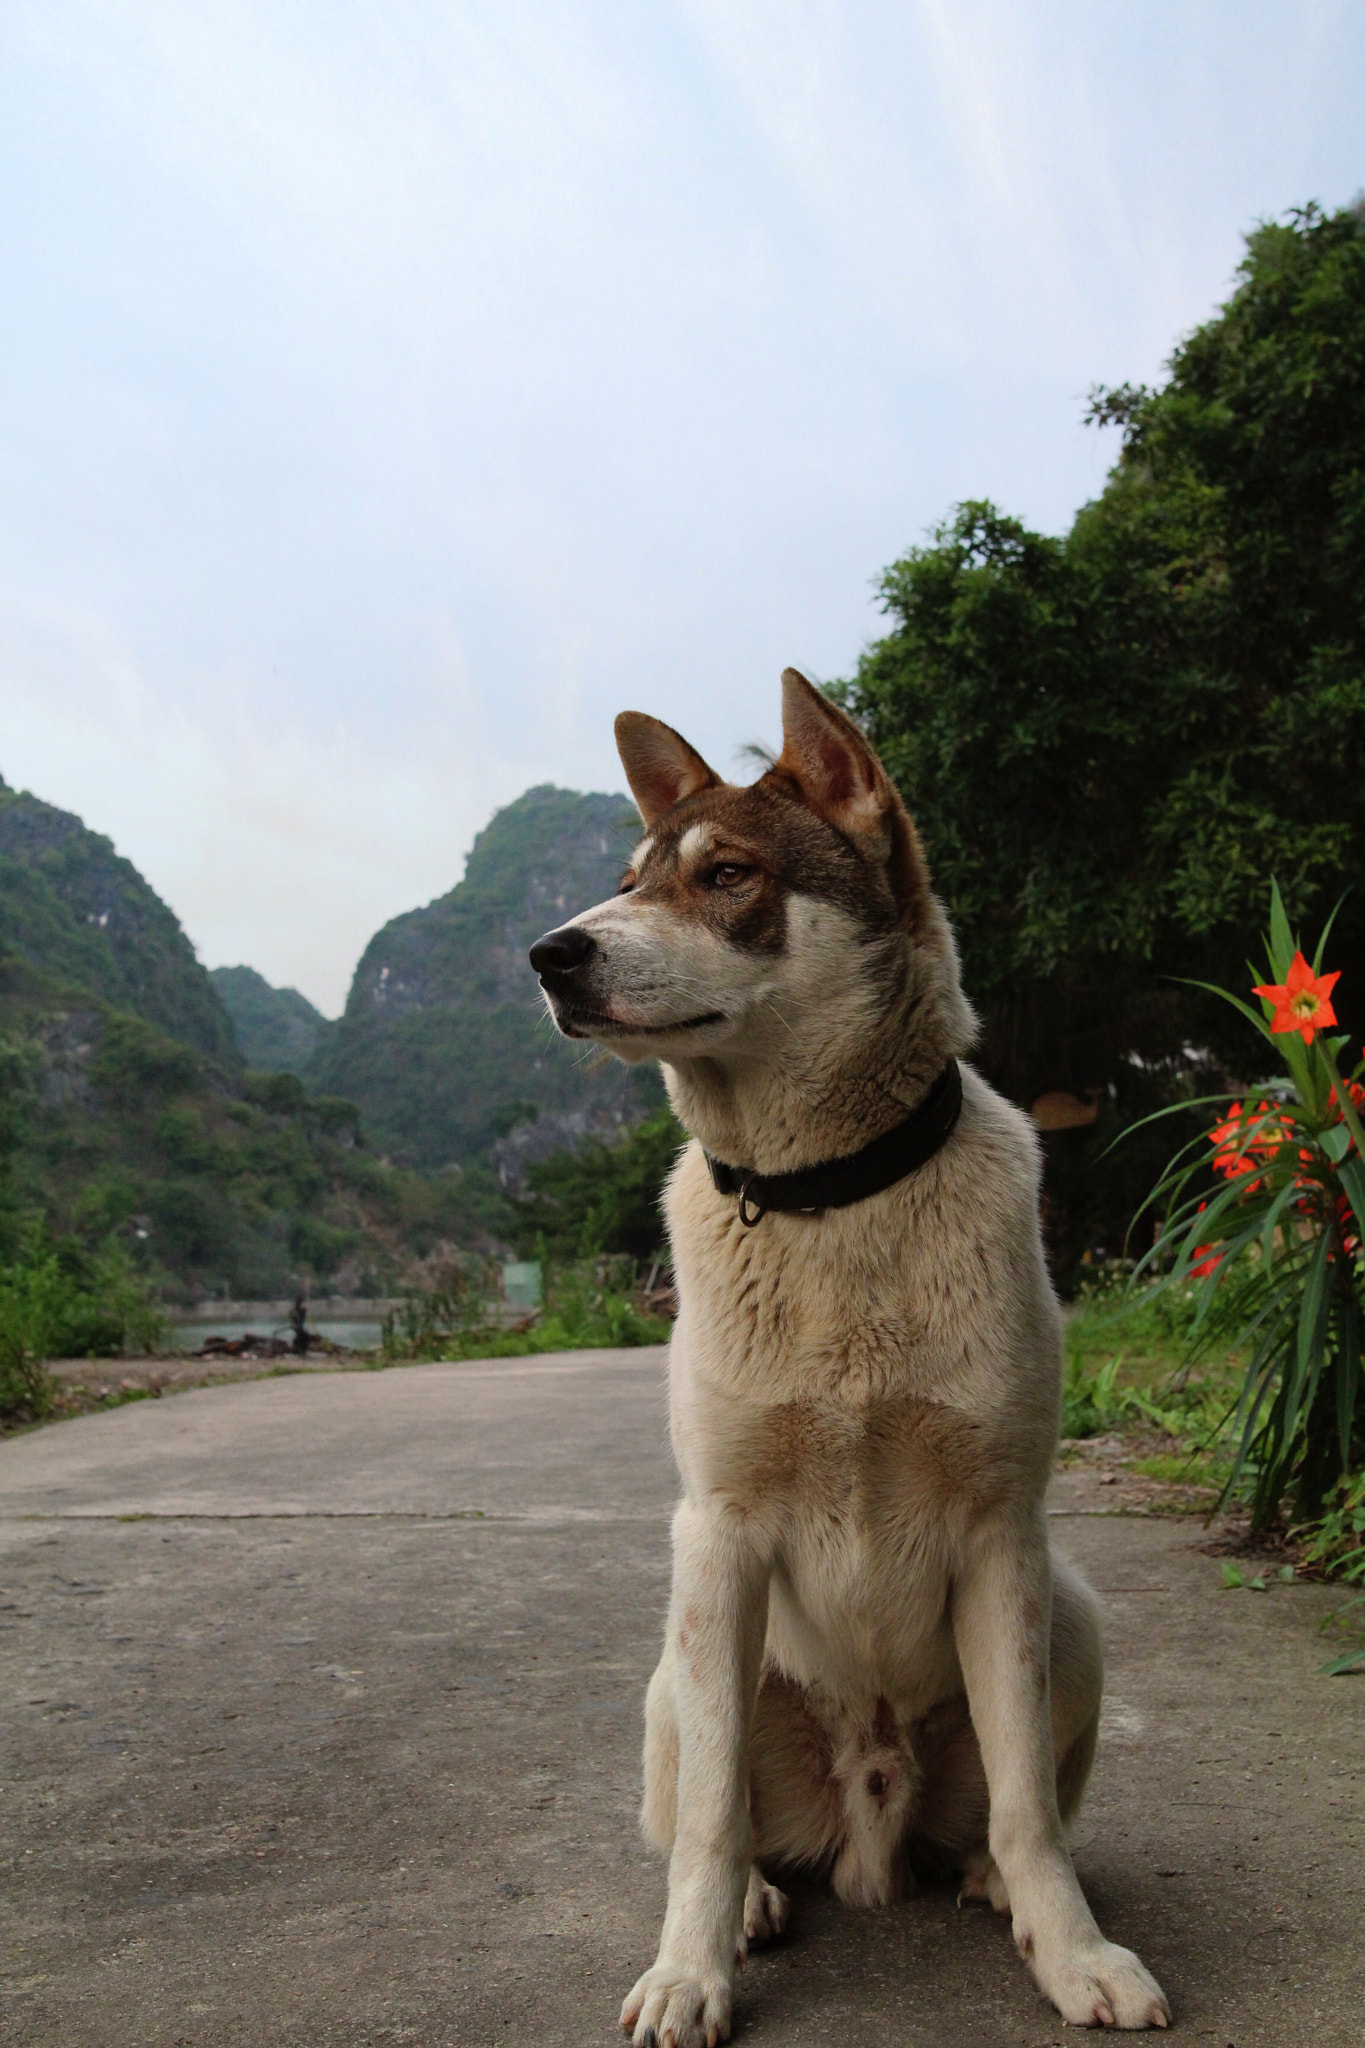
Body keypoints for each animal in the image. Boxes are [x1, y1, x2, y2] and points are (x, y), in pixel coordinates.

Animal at [527, 667, 1170, 2031]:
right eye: (629, 875)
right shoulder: (718, 1533)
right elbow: (712, 1820)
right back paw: (757, 1902)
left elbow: (1031, 1800)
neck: (830, 1197)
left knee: (1009, 1805)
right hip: (675, 1672)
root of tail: (870, 1825)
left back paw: (988, 1880)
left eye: (727, 875)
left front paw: (1072, 1948)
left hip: (1074, 1613)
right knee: (706, 1812)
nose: (550, 955)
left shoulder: (1004, 1532)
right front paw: (690, 1968)